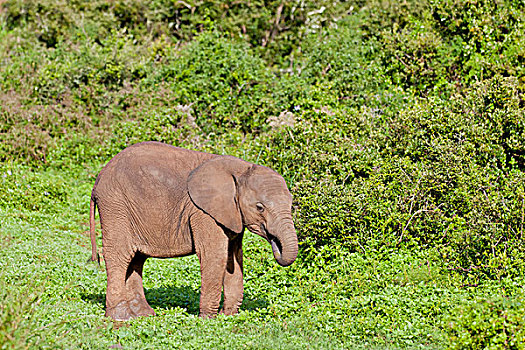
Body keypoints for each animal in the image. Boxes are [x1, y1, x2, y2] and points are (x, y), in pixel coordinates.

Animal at [88, 141, 296, 322]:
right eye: (260, 207)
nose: (274, 242)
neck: (241, 169)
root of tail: (99, 177)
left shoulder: (233, 214)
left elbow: (234, 257)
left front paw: (228, 316)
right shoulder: (203, 213)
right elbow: (215, 256)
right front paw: (208, 319)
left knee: (136, 259)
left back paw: (143, 315)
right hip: (115, 206)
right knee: (120, 256)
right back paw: (122, 317)